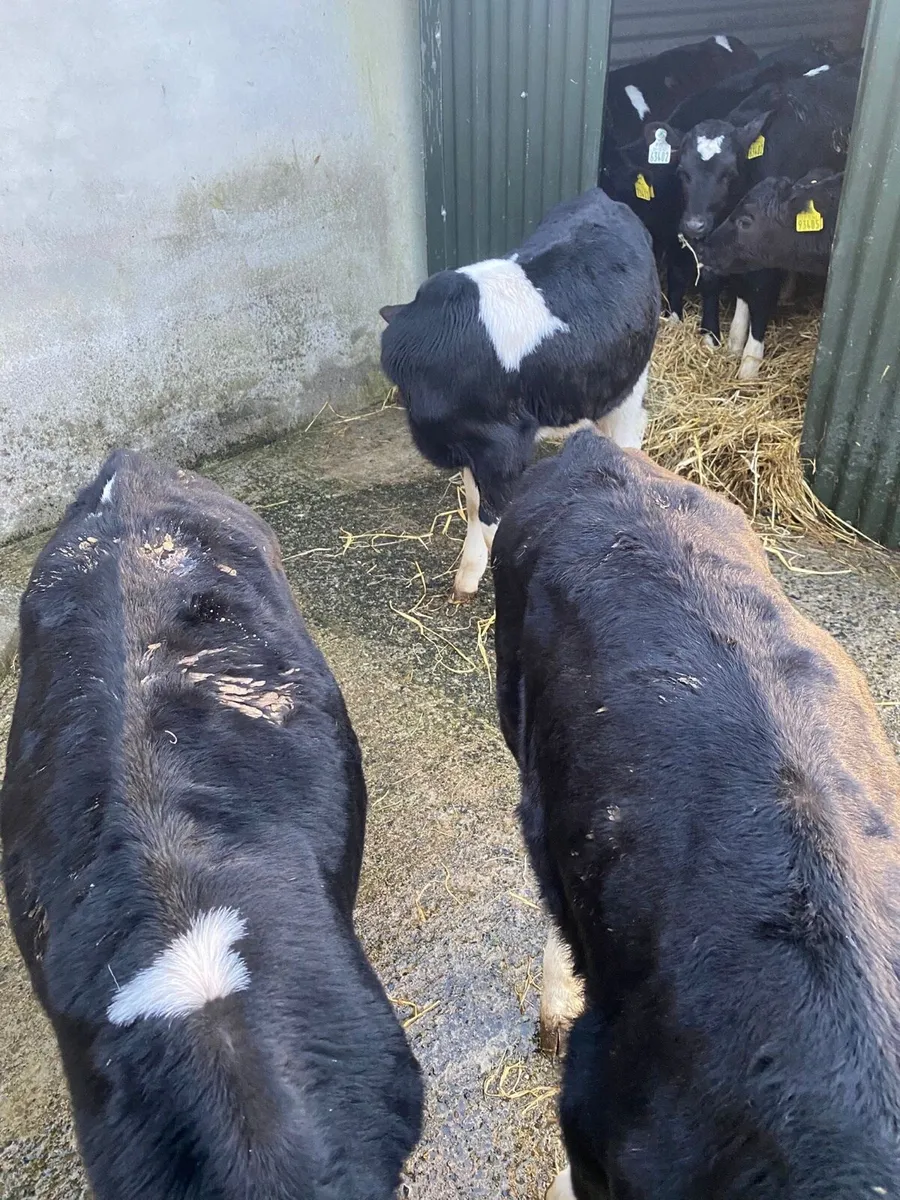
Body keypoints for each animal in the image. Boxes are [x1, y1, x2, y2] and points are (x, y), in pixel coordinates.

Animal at [379, 187, 660, 600]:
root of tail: (603, 196)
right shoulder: (471, 449)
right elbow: (474, 504)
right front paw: (468, 576)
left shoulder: (502, 451)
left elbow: (494, 523)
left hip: (628, 382)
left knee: (630, 432)